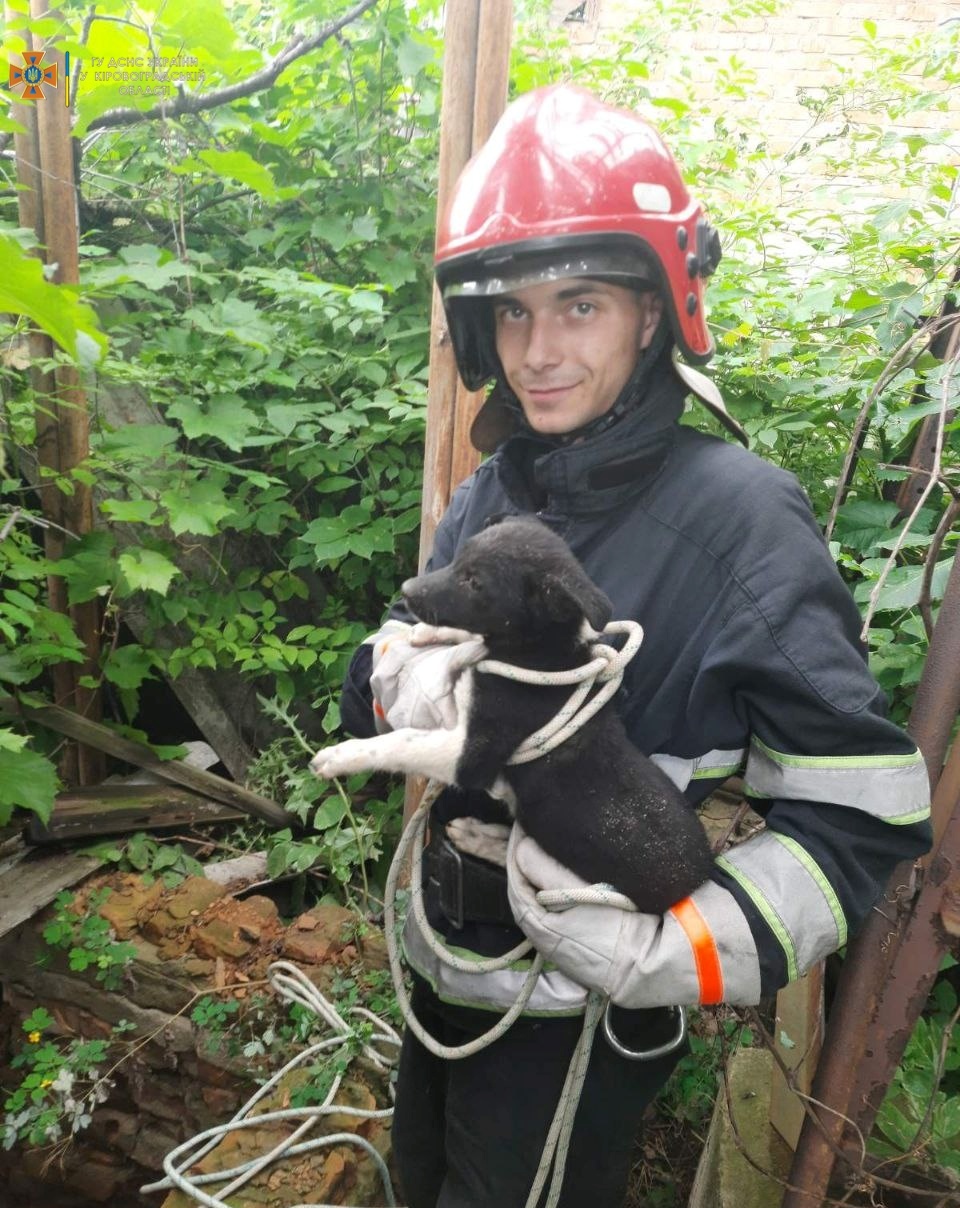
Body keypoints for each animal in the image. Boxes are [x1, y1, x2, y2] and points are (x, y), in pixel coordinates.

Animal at [311, 514, 714, 908]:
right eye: (458, 560)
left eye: (475, 582)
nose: (407, 590)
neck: (540, 653)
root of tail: (698, 879)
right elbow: (471, 639)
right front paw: (426, 633)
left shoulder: (472, 753)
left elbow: (403, 741)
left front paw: (337, 757)